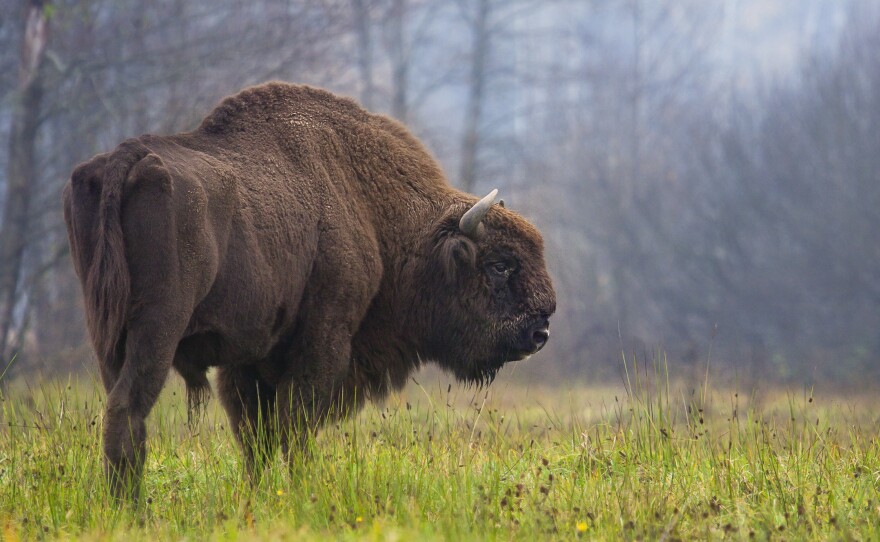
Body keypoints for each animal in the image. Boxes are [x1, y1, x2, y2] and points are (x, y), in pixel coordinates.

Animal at [63, 82, 556, 500]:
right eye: (499, 265)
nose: (541, 331)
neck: (373, 210)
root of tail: (126, 158)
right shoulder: (322, 341)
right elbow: (294, 428)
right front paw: (301, 493)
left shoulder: (247, 361)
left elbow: (256, 437)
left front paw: (260, 496)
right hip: (158, 328)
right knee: (129, 408)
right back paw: (132, 508)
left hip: (106, 334)